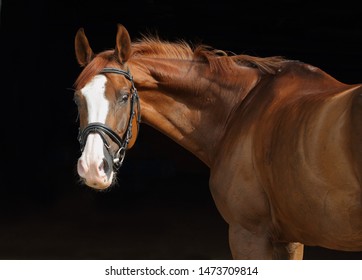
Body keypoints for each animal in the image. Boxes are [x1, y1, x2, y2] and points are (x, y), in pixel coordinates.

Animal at [73, 24, 362, 260]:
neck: (241, 108)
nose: (92, 168)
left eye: (124, 96)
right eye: (77, 98)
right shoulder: (289, 239)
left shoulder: (248, 235)